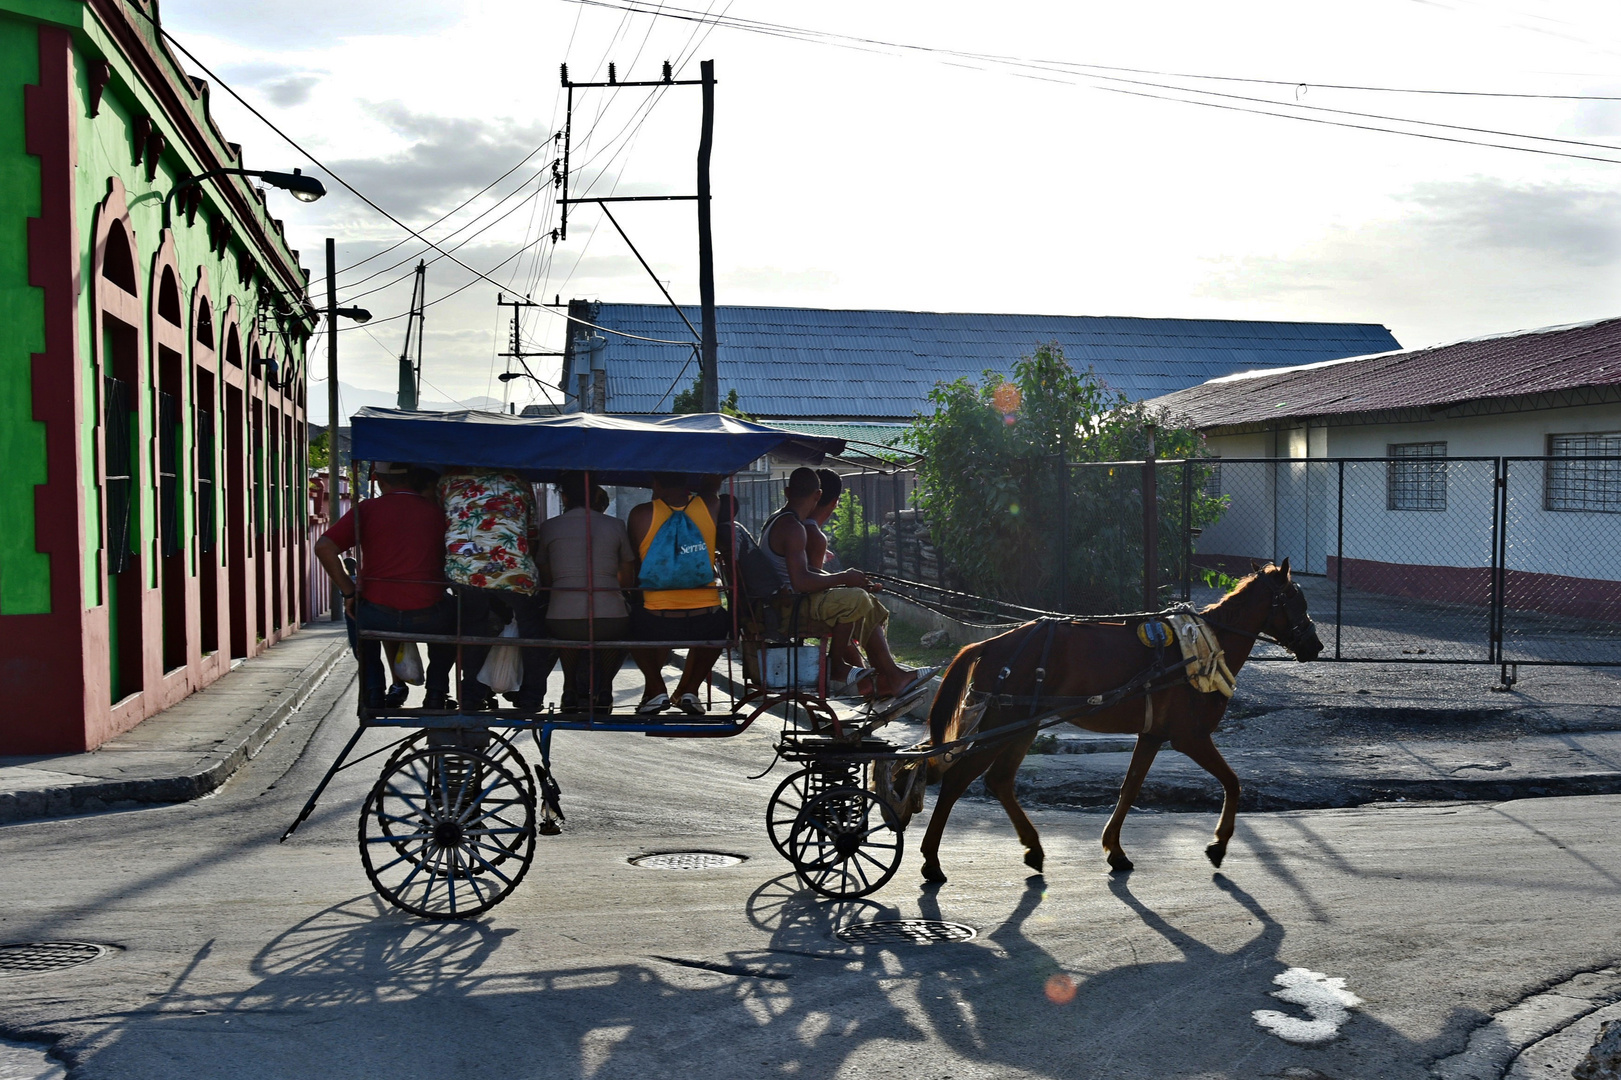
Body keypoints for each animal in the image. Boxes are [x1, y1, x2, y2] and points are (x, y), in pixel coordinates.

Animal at [914, 557, 1316, 882]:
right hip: (999, 726)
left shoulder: (1153, 735)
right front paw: (1218, 844)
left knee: (998, 781)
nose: (1317, 646)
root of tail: (984, 645)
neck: (1201, 647)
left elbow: (1130, 787)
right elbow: (1233, 782)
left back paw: (1032, 847)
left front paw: (1115, 850)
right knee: (956, 781)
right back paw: (931, 861)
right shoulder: (1190, 737)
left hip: (1023, 726)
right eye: (1295, 600)